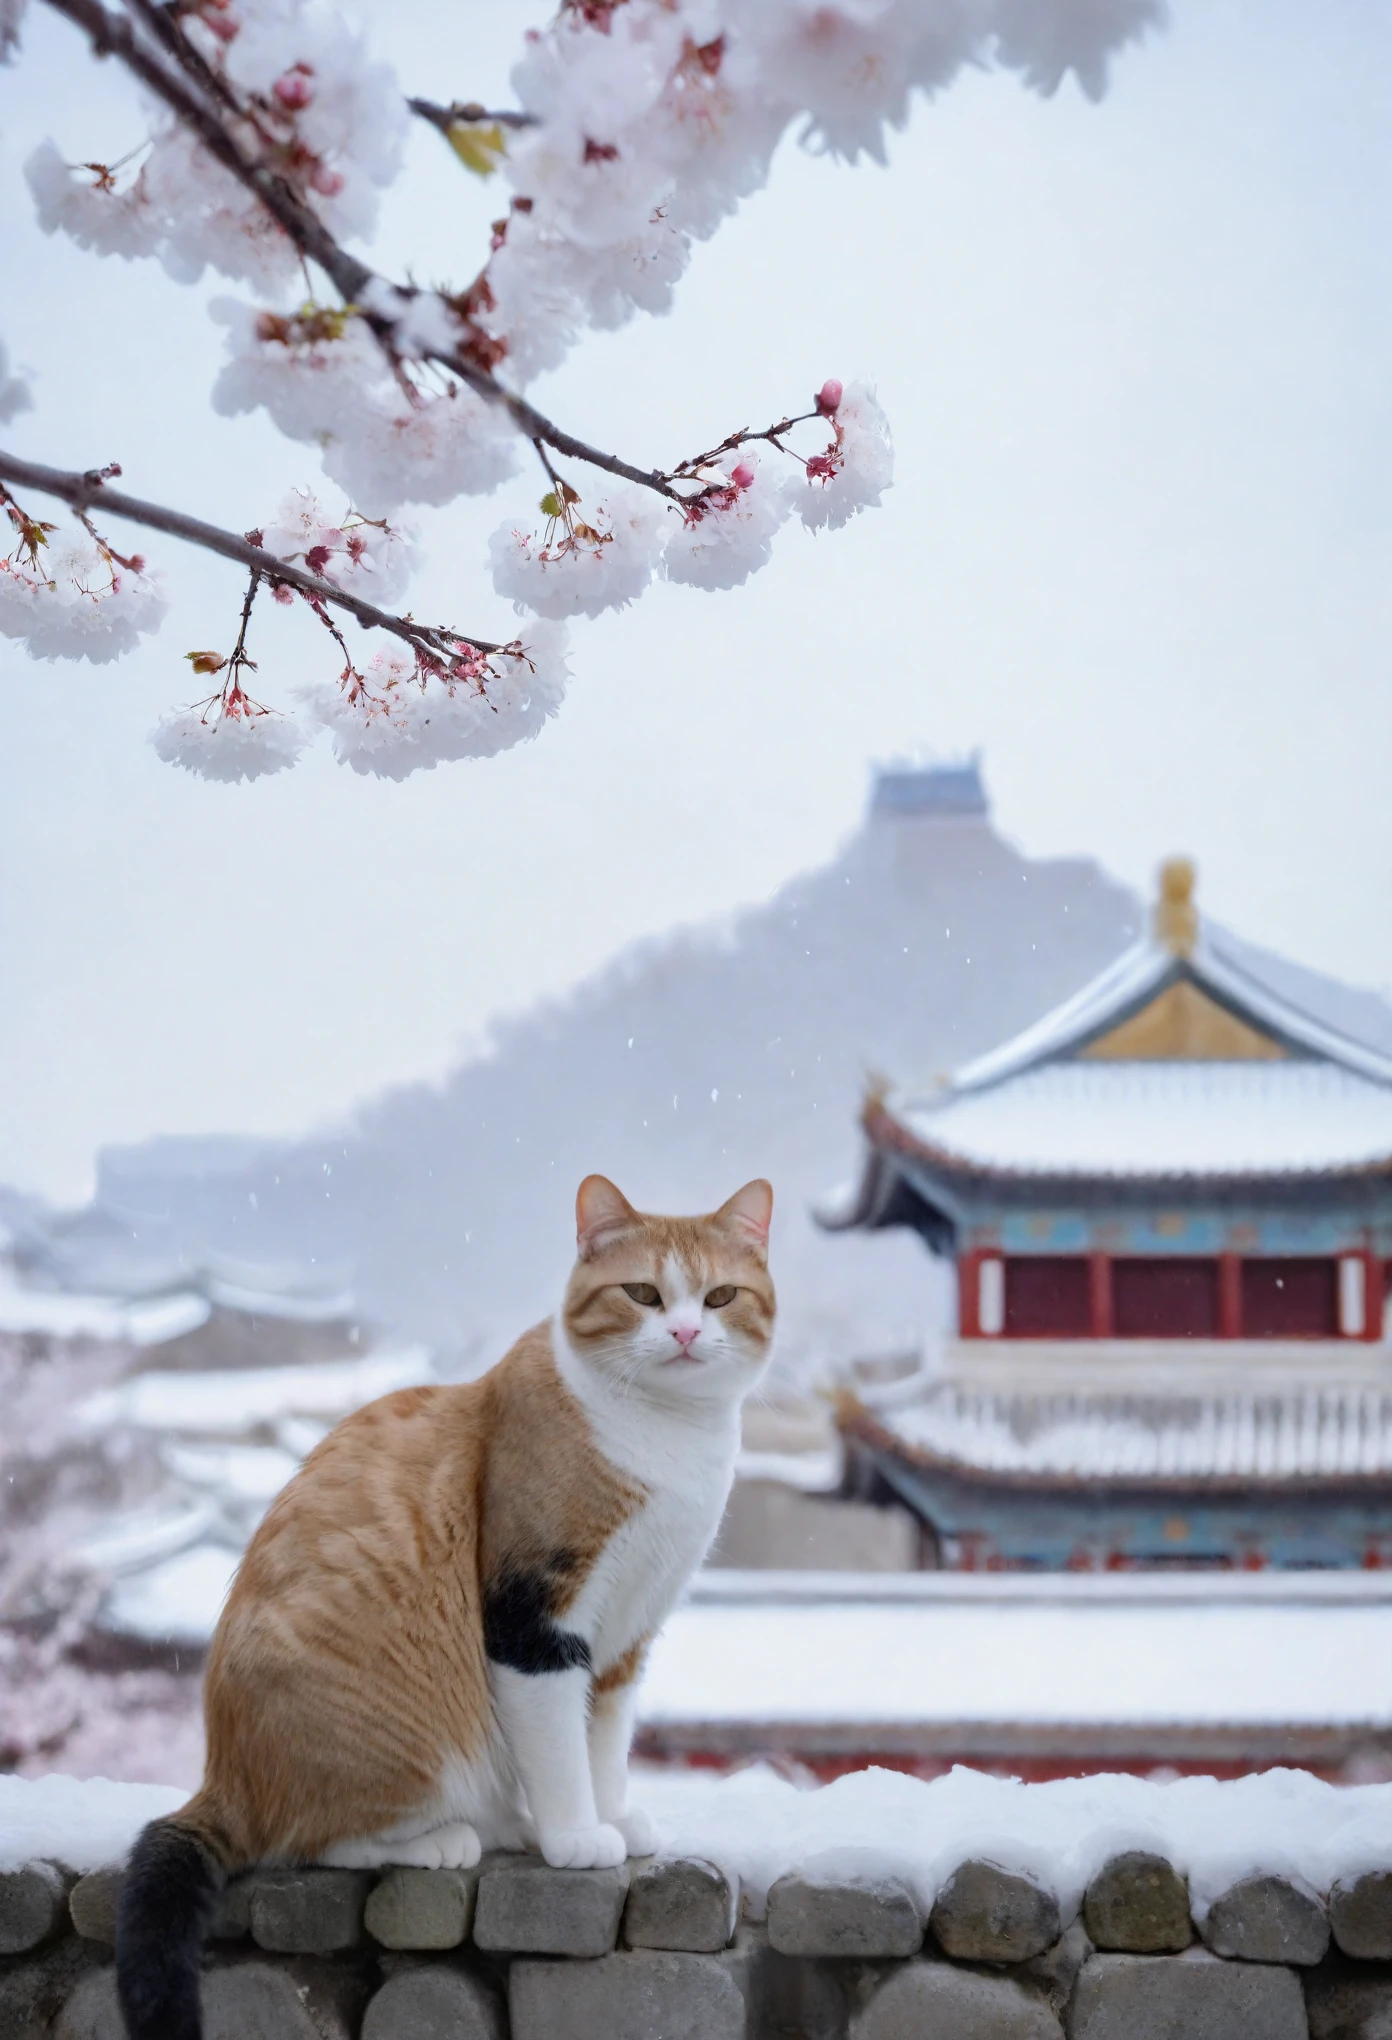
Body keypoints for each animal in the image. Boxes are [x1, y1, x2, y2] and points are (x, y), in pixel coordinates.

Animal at [115, 1175, 775, 2040]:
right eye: (642, 1294)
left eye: (721, 1295)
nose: (689, 1330)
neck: (668, 1439)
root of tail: (221, 1777)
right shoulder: (534, 1615)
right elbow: (560, 1748)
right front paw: (575, 1835)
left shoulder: (627, 1633)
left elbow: (603, 1740)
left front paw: (613, 1816)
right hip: (396, 1742)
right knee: (305, 1840)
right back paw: (449, 1839)